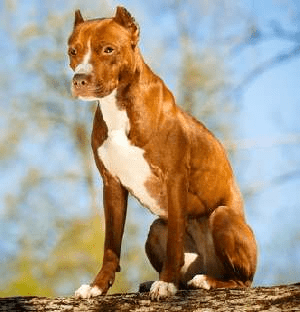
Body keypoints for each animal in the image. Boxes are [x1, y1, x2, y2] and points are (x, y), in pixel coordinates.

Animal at [68, 5, 258, 300]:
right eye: (73, 51)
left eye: (108, 49)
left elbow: (174, 242)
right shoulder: (111, 185)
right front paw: (97, 286)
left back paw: (205, 281)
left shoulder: (174, 178)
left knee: (241, 281)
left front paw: (166, 283)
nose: (80, 80)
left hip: (223, 217)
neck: (120, 107)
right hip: (156, 229)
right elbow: (111, 245)